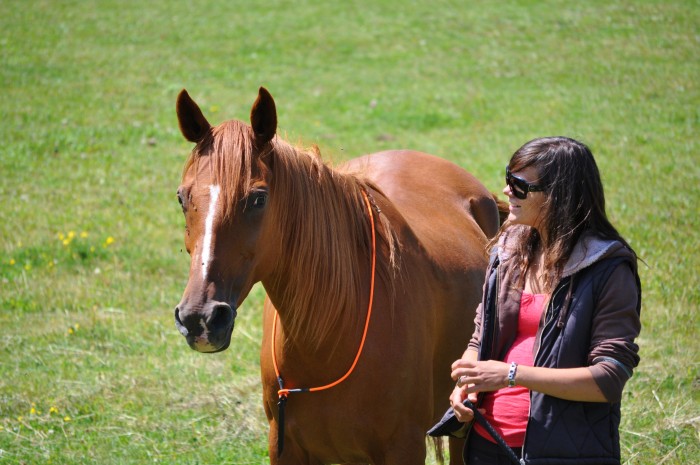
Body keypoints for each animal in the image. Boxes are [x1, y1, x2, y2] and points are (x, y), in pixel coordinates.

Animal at [175, 88, 504, 464]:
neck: (328, 340)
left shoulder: (403, 446)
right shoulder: (284, 447)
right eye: (182, 197)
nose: (200, 318)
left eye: (258, 198)